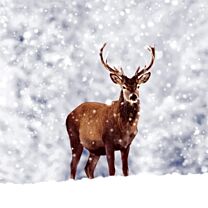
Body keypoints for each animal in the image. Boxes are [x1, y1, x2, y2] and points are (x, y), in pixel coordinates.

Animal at [66, 43, 155, 180]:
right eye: (123, 86)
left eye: (138, 86)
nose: (133, 96)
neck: (125, 128)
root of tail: (68, 115)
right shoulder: (108, 141)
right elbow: (112, 170)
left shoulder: (126, 145)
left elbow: (125, 170)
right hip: (74, 138)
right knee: (73, 166)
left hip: (95, 149)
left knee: (88, 168)